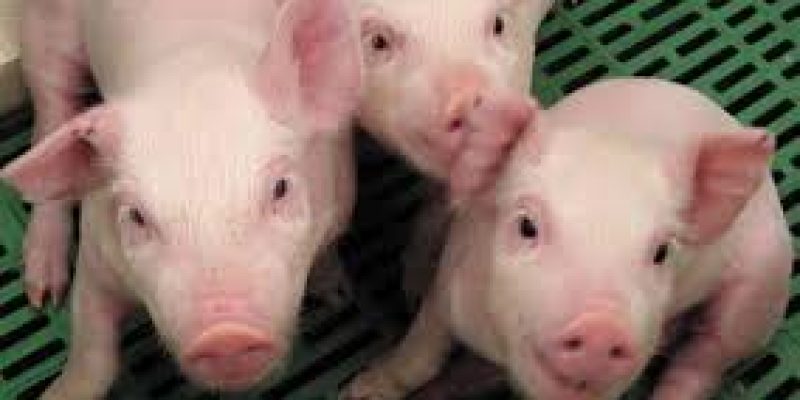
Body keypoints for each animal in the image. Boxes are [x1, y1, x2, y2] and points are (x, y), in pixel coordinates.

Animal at [3, 0, 361, 396]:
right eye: (137, 215)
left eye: (281, 187)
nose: (226, 335)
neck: (191, 68)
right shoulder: (96, 256)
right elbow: (92, 356)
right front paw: (56, 393)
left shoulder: (339, 199)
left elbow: (326, 252)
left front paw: (338, 296)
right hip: (46, 26)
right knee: (50, 109)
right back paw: (42, 293)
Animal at [341, 78, 792, 400]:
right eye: (527, 226)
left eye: (662, 251)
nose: (601, 327)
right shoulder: (450, 276)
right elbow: (420, 349)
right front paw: (359, 391)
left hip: (763, 289)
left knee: (707, 356)